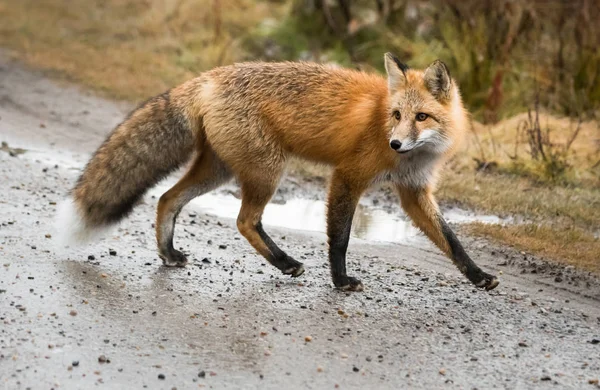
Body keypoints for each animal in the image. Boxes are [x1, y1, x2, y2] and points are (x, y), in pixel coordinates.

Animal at [58, 54, 500, 292]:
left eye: (421, 117)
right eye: (396, 115)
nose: (394, 144)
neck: (409, 157)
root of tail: (208, 77)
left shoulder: (414, 192)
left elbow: (451, 241)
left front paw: (478, 276)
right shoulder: (348, 177)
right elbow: (339, 239)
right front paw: (341, 282)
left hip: (218, 171)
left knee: (167, 198)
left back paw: (168, 253)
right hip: (268, 171)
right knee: (244, 220)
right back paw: (285, 262)